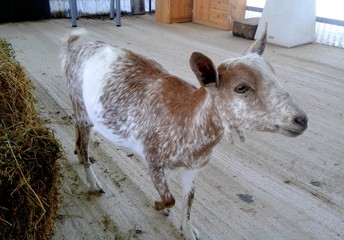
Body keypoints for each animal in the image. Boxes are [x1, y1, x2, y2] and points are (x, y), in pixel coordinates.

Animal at [60, 26, 308, 240]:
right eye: (241, 87)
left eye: (274, 74)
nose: (301, 120)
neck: (188, 122)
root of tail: (72, 49)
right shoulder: (153, 160)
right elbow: (170, 199)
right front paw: (159, 206)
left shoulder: (193, 169)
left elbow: (188, 201)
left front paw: (188, 231)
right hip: (80, 104)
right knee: (85, 144)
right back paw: (93, 181)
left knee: (79, 132)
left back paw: (76, 152)